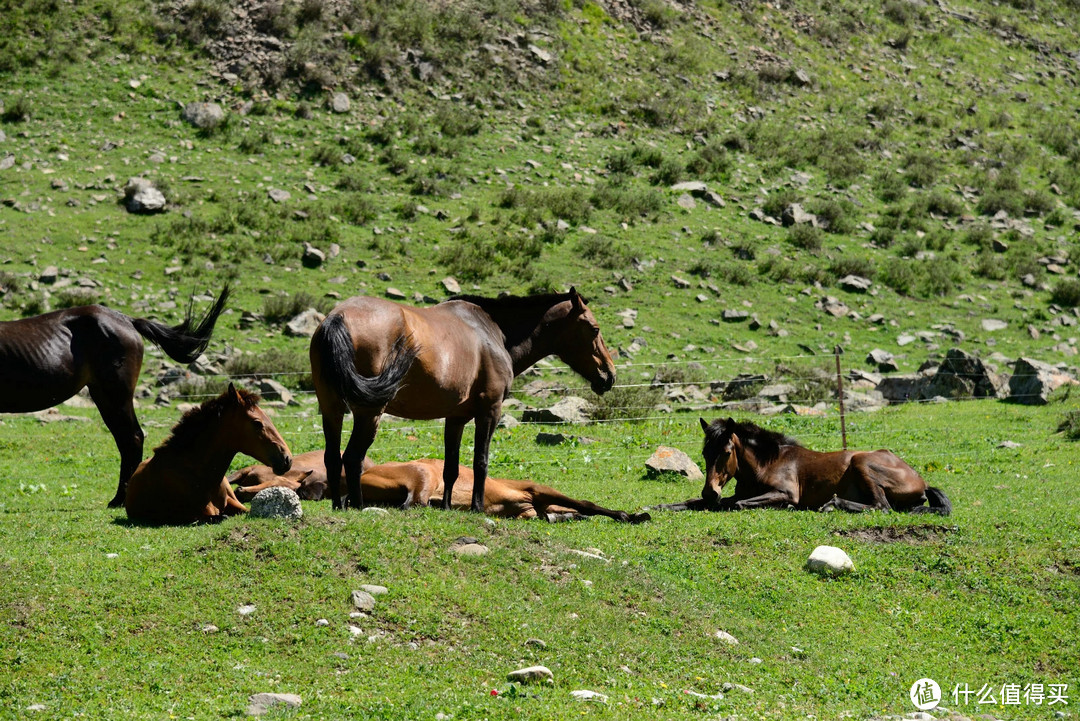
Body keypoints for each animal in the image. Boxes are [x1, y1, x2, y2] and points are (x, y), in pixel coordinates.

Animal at [1, 284, 230, 505]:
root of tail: (127, 320)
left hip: (116, 395)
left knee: (132, 438)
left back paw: (120, 499)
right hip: (105, 397)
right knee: (126, 439)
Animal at [311, 287, 617, 511]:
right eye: (594, 329)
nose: (609, 375)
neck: (492, 333)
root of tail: (338, 317)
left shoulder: (455, 418)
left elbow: (451, 467)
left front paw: (446, 506)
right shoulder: (490, 411)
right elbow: (481, 461)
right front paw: (476, 507)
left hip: (331, 409)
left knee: (332, 458)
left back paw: (338, 505)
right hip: (369, 413)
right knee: (353, 458)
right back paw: (358, 506)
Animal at [652, 418, 950, 515]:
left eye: (726, 452)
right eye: (704, 453)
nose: (710, 491)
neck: (767, 463)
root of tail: (921, 481)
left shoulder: (784, 492)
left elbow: (735, 504)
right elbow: (694, 502)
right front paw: (658, 506)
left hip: (861, 462)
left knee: (882, 507)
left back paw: (832, 504)